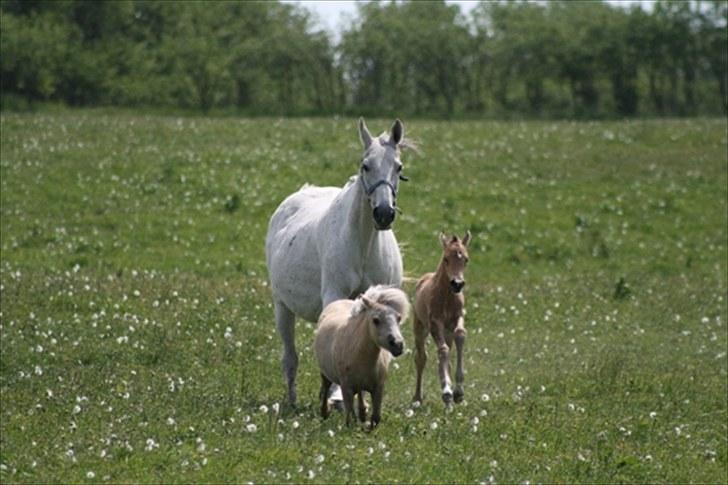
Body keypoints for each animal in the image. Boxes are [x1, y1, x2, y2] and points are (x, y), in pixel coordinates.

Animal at [316, 284, 412, 428]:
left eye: (398, 318)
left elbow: (376, 418)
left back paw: (362, 413)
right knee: (326, 387)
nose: (398, 345)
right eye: (376, 320)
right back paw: (324, 412)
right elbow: (350, 420)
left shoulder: (378, 388)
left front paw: (367, 425)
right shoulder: (346, 388)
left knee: (360, 393)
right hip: (325, 373)